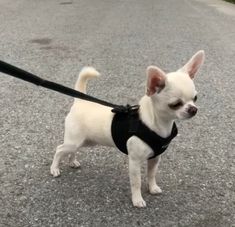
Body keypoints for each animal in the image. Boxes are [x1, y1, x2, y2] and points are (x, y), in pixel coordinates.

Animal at [50, 50, 205, 208]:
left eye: (195, 98)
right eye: (175, 104)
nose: (193, 109)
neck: (157, 124)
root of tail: (80, 102)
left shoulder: (155, 158)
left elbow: (151, 175)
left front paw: (152, 188)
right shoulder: (135, 162)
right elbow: (136, 182)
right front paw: (137, 200)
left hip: (86, 141)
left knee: (72, 150)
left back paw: (72, 162)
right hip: (73, 141)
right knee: (59, 149)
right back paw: (54, 169)